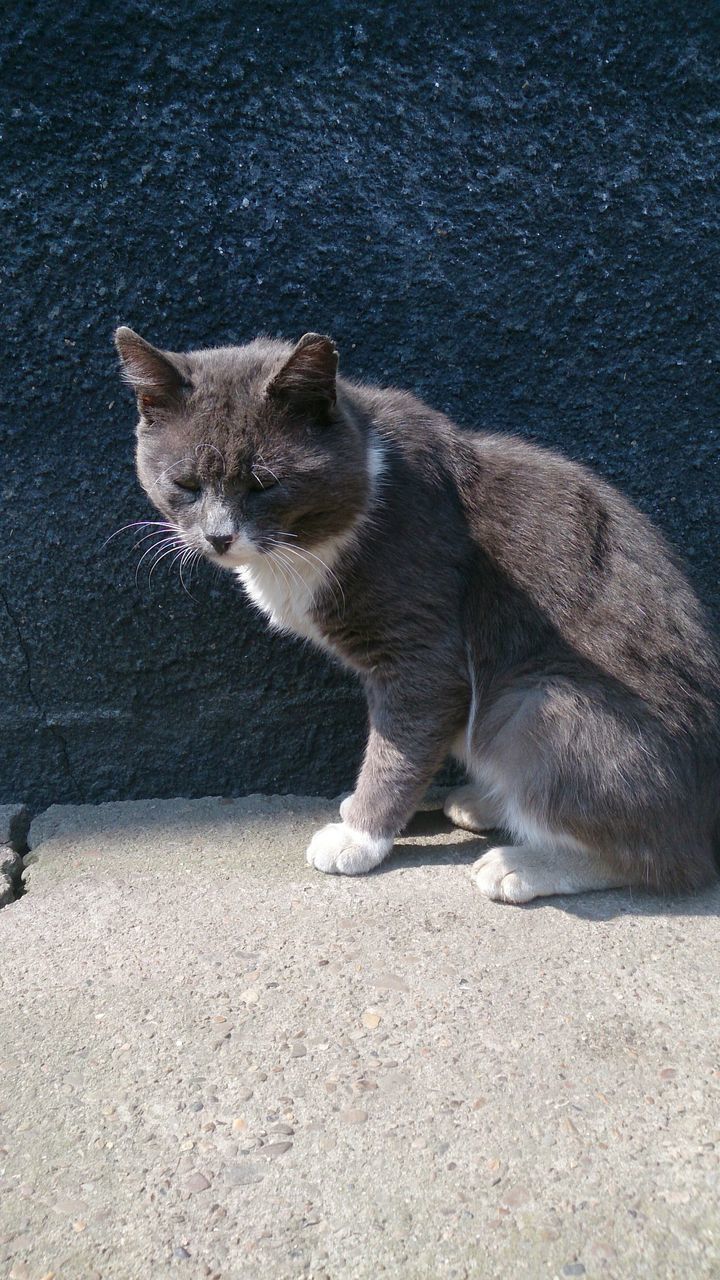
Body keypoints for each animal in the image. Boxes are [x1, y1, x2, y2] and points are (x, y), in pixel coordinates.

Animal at [113, 330, 717, 906]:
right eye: (186, 485)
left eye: (265, 484)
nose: (218, 536)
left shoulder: (424, 654)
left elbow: (398, 747)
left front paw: (359, 836)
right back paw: (486, 803)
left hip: (534, 704)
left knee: (662, 857)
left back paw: (521, 863)